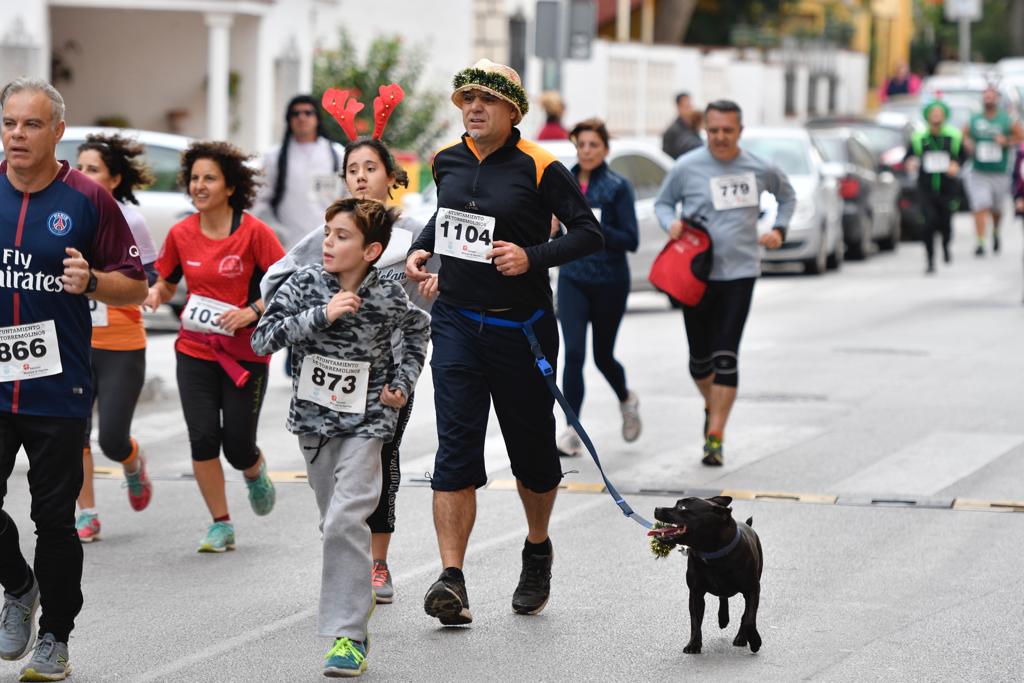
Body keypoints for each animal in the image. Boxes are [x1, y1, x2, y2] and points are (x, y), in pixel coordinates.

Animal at [651, 499, 765, 655]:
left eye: (682, 507)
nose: (656, 508)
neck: (712, 554)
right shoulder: (695, 593)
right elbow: (695, 621)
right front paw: (693, 644)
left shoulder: (752, 590)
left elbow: (748, 618)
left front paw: (754, 641)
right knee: (723, 597)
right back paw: (723, 618)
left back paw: (741, 637)